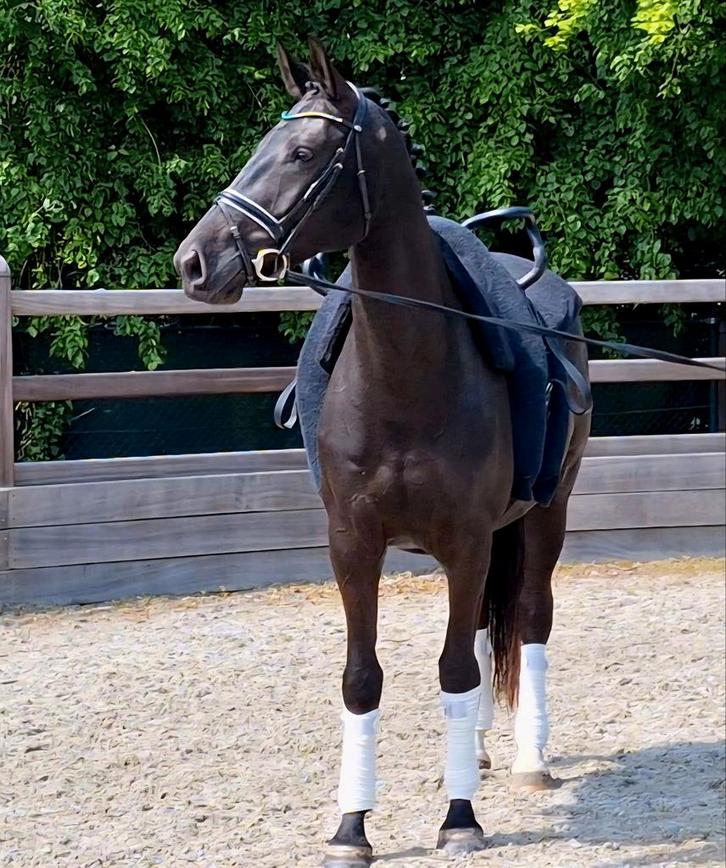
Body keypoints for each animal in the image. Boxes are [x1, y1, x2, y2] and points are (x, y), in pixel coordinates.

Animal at [174, 37, 591, 866]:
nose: (195, 262)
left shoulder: (465, 541)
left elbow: (455, 669)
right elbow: (362, 680)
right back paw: (481, 750)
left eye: (303, 152)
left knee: (529, 617)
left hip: (545, 513)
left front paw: (460, 818)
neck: (405, 373)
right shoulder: (353, 544)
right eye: (259, 146)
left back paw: (526, 759)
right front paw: (351, 827)